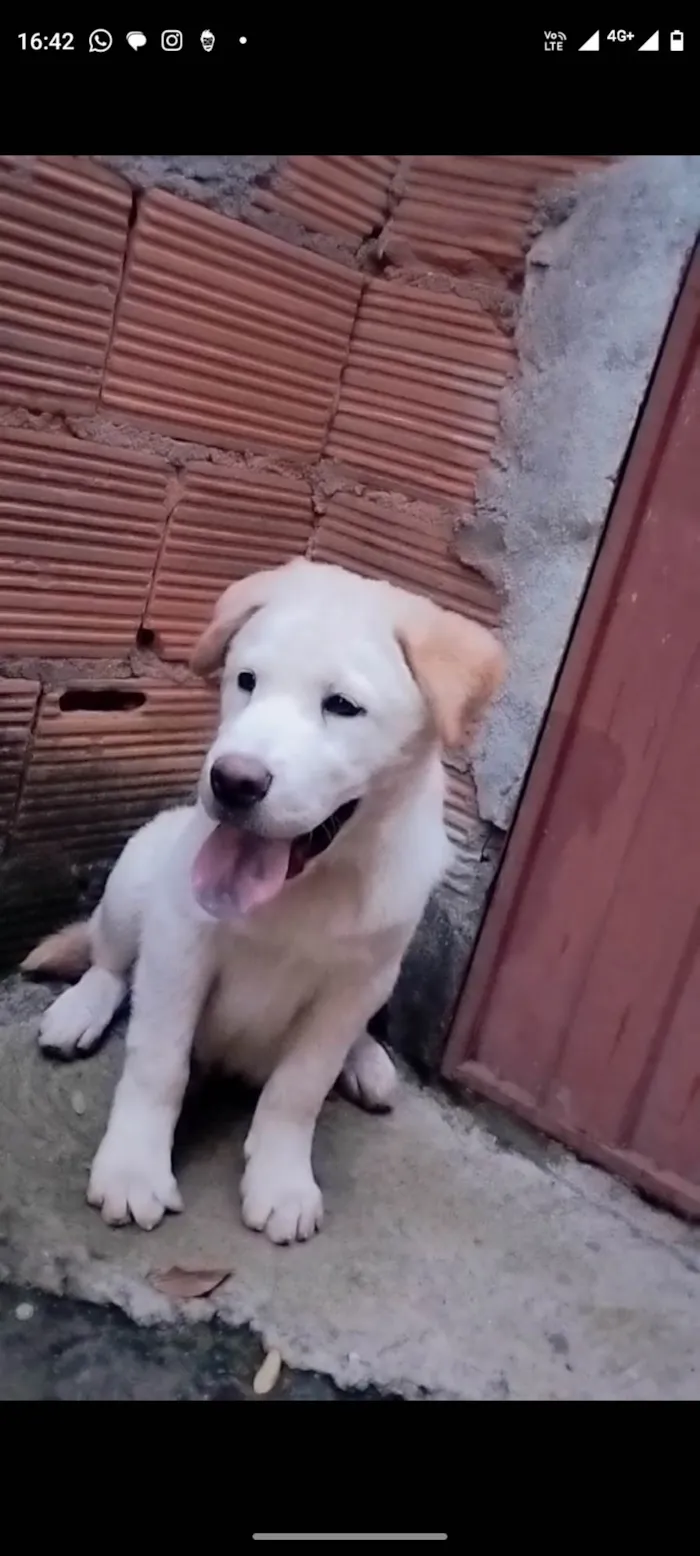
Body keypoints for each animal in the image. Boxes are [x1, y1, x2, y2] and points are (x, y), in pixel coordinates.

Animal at [21, 557, 504, 1238]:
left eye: (343, 706)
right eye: (246, 681)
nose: (232, 781)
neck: (308, 884)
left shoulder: (354, 984)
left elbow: (297, 1089)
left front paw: (281, 1180)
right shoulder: (180, 945)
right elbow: (158, 1064)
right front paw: (134, 1169)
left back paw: (367, 1062)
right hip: (137, 871)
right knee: (109, 958)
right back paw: (80, 1009)